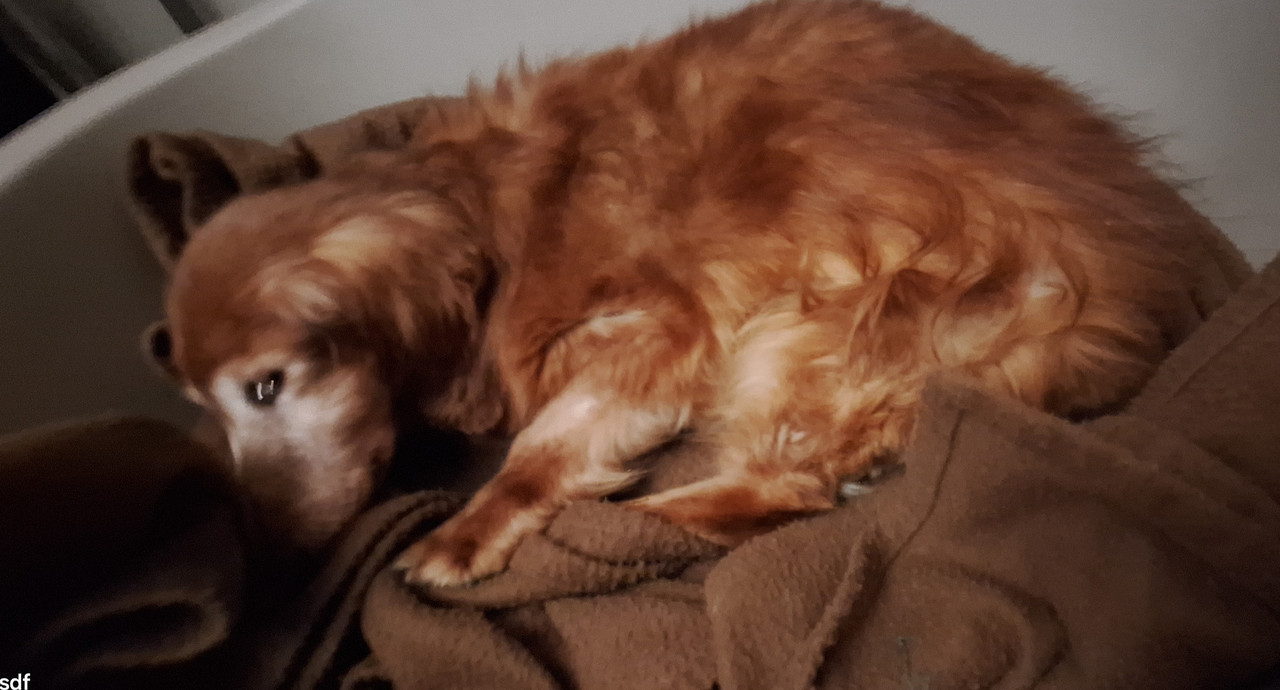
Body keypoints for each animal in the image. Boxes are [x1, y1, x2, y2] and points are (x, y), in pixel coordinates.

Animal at [148, 0, 1213, 586]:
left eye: (267, 386)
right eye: (206, 405)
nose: (267, 555)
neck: (480, 214)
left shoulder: (658, 334)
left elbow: (540, 448)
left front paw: (469, 529)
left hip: (812, 327)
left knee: (788, 488)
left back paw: (648, 517)